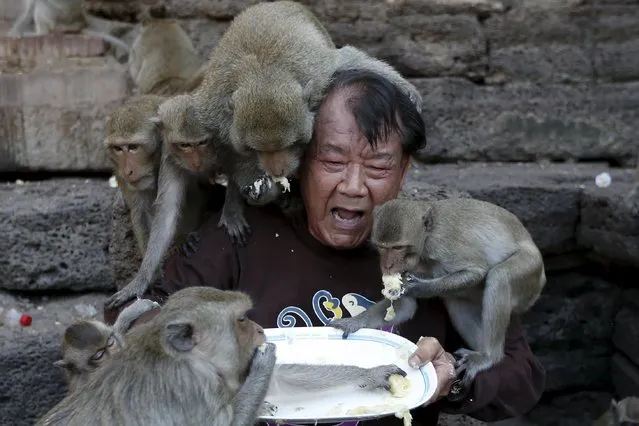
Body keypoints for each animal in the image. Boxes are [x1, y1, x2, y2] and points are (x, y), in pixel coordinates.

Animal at [37, 286, 404, 426]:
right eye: (241, 319)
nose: (259, 330)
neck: (192, 361)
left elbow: (283, 379)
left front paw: (372, 373)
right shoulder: (194, 392)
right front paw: (264, 367)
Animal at [332, 198, 548, 392]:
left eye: (398, 247)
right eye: (382, 247)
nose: (387, 265)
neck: (426, 238)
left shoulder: (442, 244)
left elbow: (475, 271)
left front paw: (417, 287)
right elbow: (406, 305)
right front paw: (355, 322)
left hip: (530, 271)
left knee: (500, 277)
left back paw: (489, 357)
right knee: (456, 301)